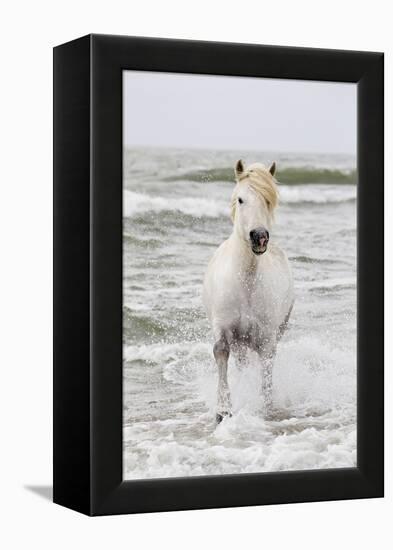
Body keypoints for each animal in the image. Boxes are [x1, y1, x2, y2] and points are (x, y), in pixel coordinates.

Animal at [204, 162, 292, 424]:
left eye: (268, 200)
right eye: (241, 199)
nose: (259, 237)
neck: (246, 282)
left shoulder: (267, 337)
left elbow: (267, 367)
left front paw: (266, 408)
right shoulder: (223, 329)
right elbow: (221, 353)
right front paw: (223, 411)